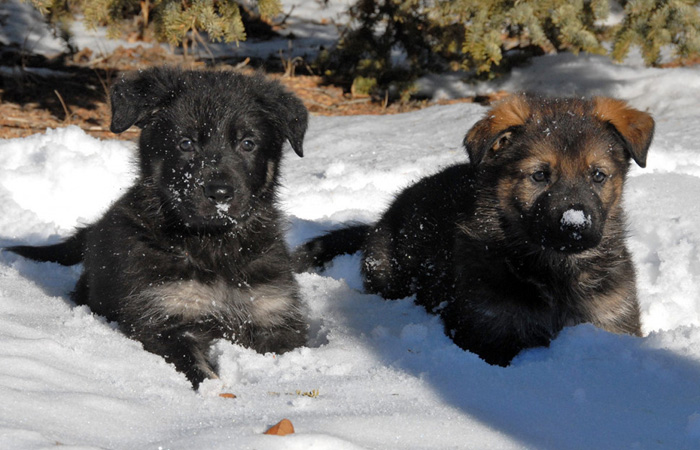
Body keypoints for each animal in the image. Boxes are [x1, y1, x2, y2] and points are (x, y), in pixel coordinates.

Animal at [7, 67, 308, 386]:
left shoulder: (273, 312)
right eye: (186, 143)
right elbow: (198, 368)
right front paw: (215, 391)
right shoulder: (165, 317)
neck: (213, 245)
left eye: (248, 143)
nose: (220, 193)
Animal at [296, 94, 656, 366]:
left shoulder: (612, 318)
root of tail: (379, 223)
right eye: (539, 176)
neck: (554, 272)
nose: (575, 228)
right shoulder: (488, 333)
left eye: (598, 175)